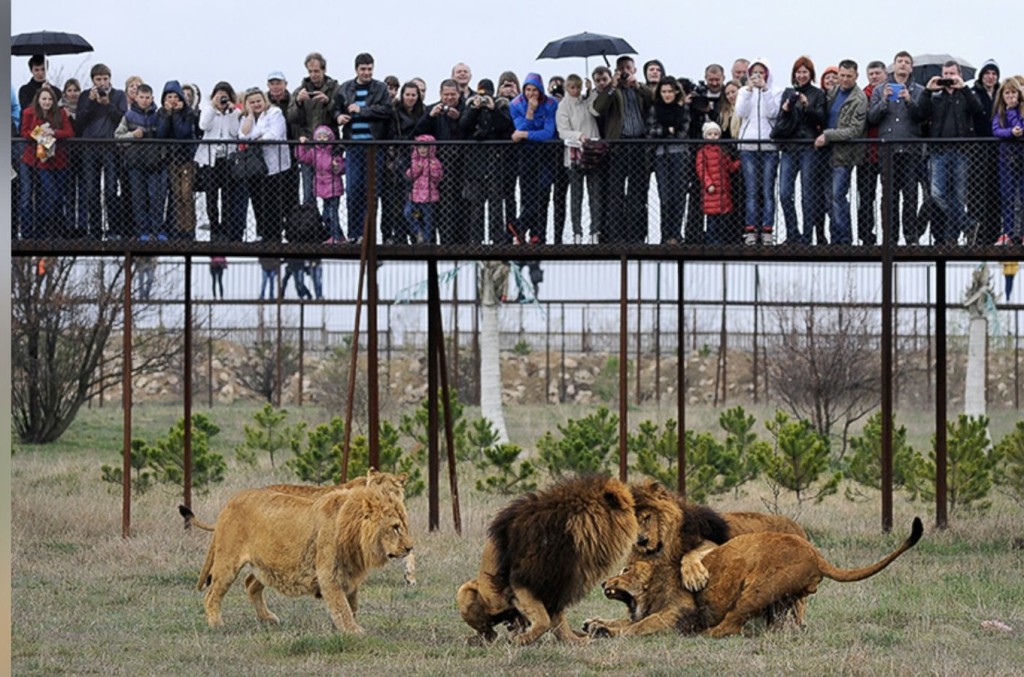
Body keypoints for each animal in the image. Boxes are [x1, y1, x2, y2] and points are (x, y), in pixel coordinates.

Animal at [184, 483, 411, 630]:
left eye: (404, 526)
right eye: (395, 527)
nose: (410, 548)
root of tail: (230, 502)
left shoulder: (350, 576)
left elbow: (352, 605)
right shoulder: (329, 576)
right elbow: (342, 608)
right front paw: (354, 632)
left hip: (266, 566)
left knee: (250, 584)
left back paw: (268, 619)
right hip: (227, 563)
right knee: (212, 595)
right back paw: (217, 625)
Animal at [458, 473, 638, 647]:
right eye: (632, 509)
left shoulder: (557, 586)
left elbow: (557, 622)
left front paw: (577, 640)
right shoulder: (523, 580)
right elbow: (544, 621)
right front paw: (520, 640)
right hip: (465, 591)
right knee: (489, 633)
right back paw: (474, 640)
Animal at [589, 518, 925, 639]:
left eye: (625, 570)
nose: (604, 583)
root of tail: (816, 555)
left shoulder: (676, 614)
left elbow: (639, 626)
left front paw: (606, 631)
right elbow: (624, 620)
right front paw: (595, 623)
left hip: (756, 589)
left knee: (729, 627)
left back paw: (703, 634)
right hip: (779, 602)